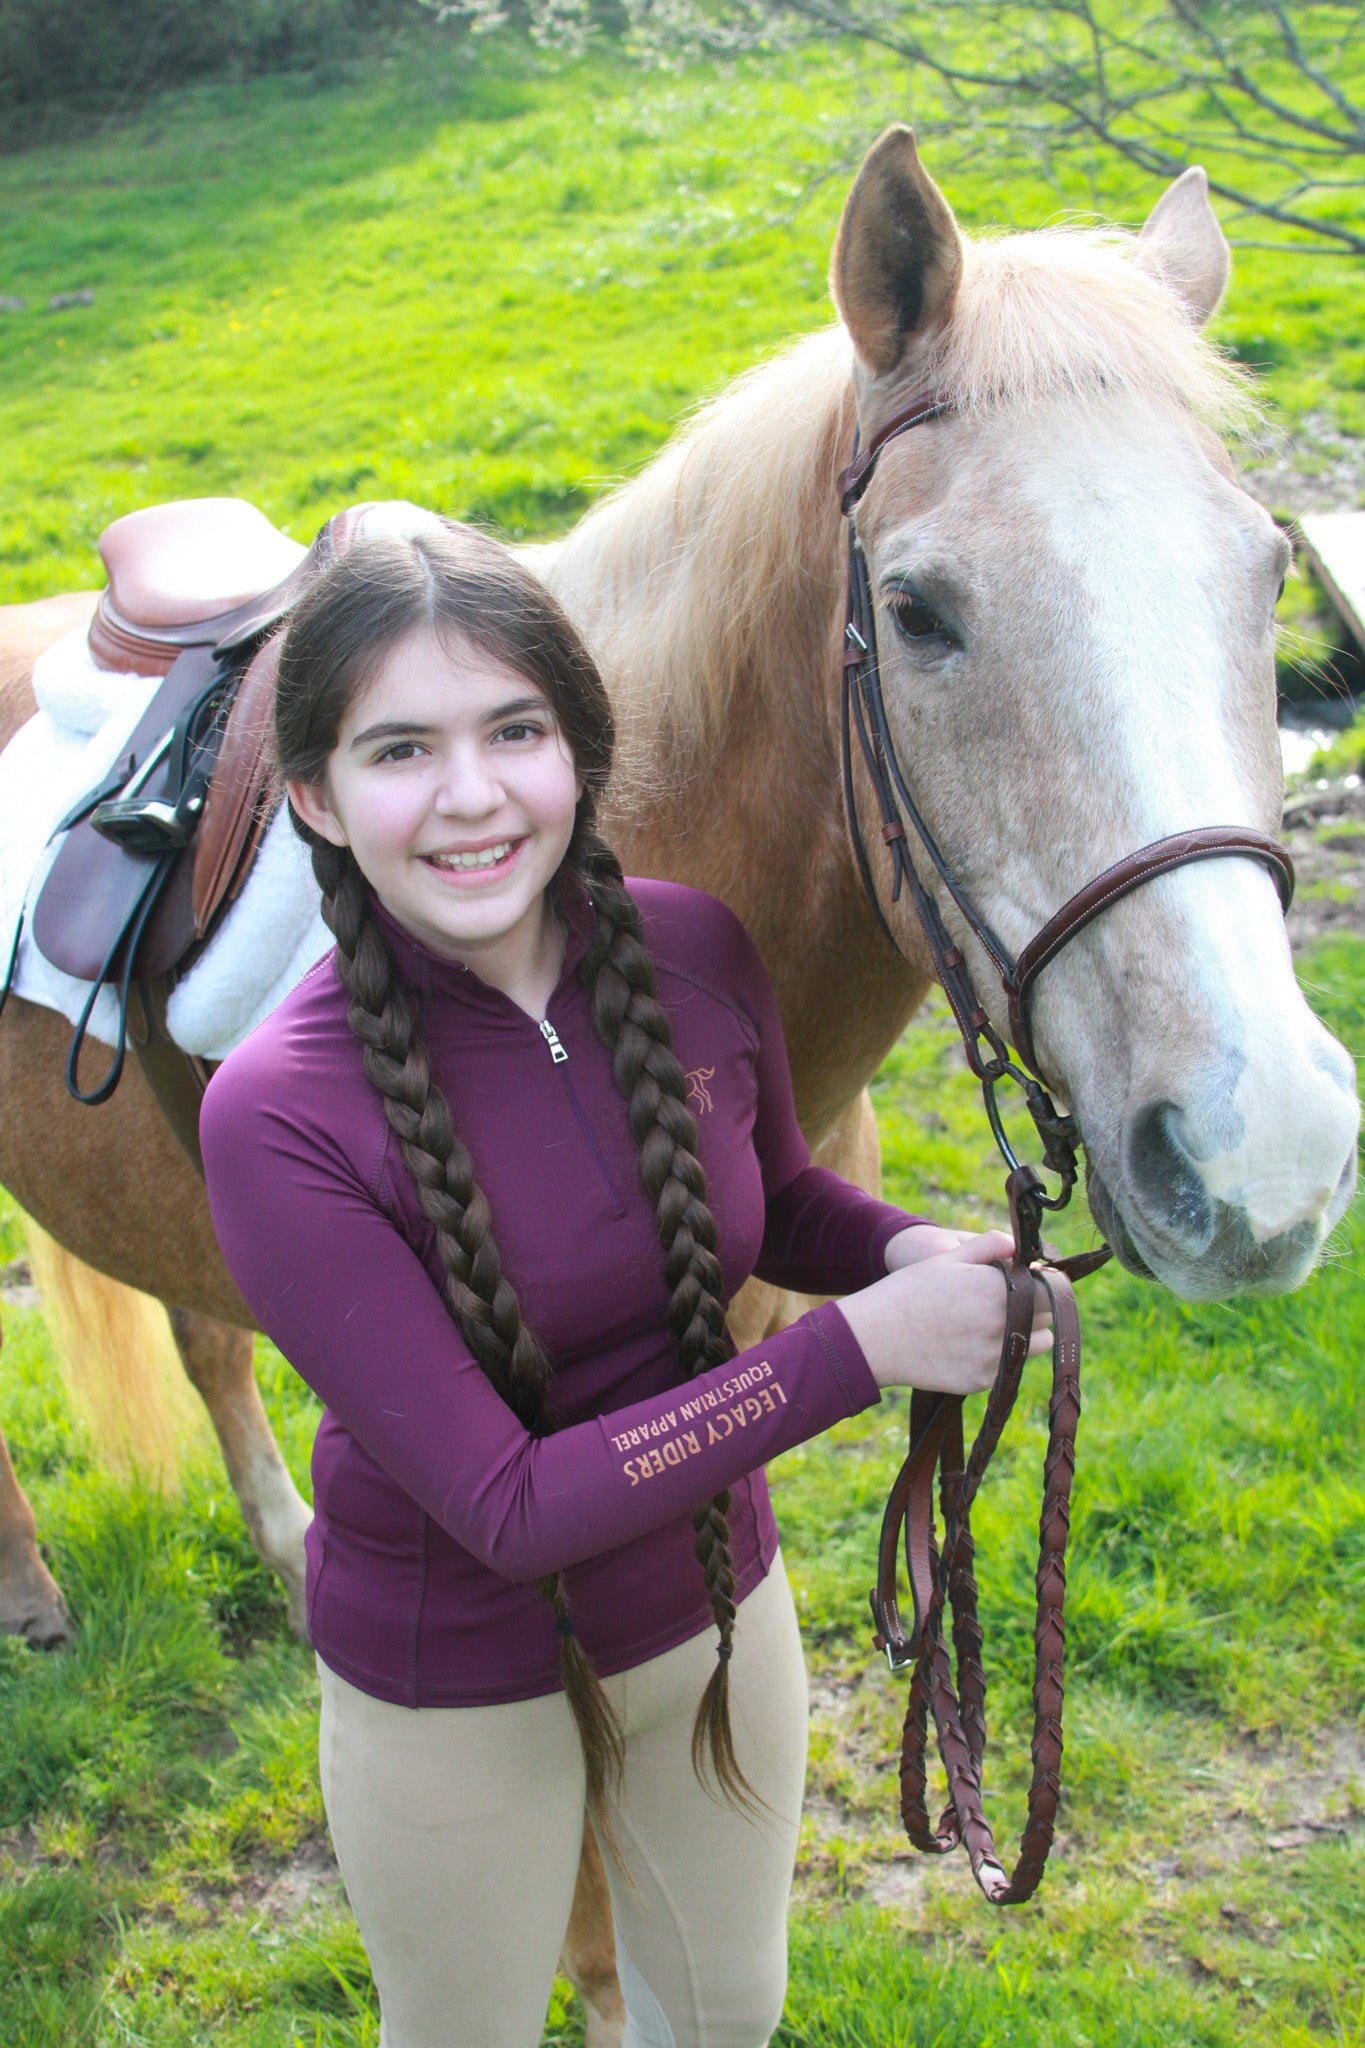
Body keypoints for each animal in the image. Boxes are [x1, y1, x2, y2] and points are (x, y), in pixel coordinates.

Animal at [0, 128, 1358, 2031]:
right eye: (919, 612)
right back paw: (38, 1600)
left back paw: (279, 1541)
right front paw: (594, 1975)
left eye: (1263, 576)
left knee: (205, 1341)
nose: (1264, 1150)